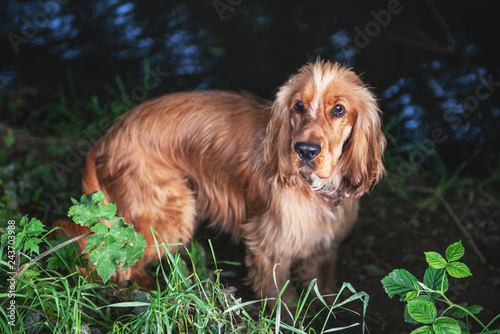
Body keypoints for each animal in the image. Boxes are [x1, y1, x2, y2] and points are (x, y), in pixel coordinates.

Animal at [52, 60, 384, 306]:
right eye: (298, 106)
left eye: (339, 109)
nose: (305, 150)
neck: (317, 190)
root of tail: (107, 138)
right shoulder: (269, 251)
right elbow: (284, 304)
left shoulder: (324, 249)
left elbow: (325, 294)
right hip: (169, 218)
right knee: (115, 265)